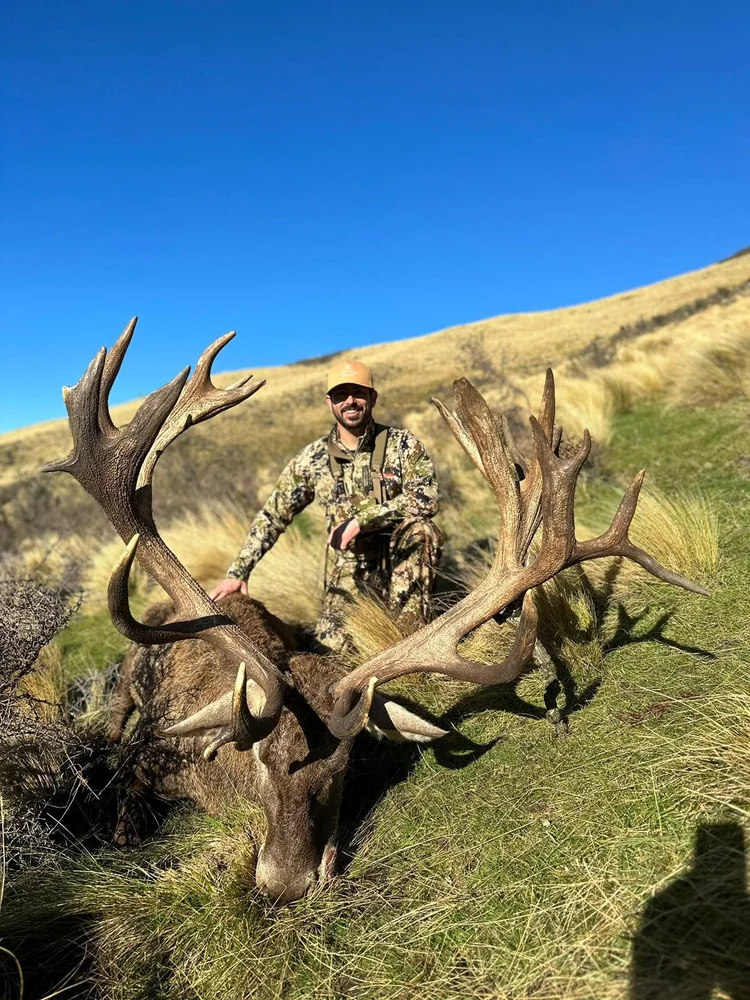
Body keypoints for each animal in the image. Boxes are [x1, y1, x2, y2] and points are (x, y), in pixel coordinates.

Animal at [44, 319, 708, 905]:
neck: (216, 781)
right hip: (130, 678)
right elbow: (126, 790)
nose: (284, 885)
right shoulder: (153, 753)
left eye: (345, 763)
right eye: (259, 757)